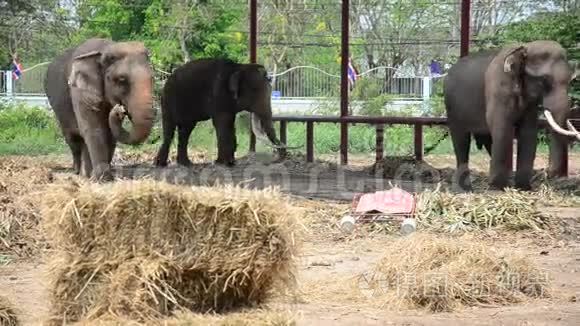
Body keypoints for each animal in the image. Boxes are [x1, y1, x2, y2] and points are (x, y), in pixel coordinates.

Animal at [154, 57, 292, 167]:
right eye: (255, 91)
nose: (273, 160)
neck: (239, 67)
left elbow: (230, 124)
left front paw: (230, 162)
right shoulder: (219, 94)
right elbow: (222, 123)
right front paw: (223, 163)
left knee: (186, 130)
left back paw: (186, 164)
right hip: (168, 99)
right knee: (170, 129)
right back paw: (161, 164)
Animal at [444, 39, 576, 191]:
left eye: (570, 81)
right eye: (543, 80)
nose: (549, 173)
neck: (526, 47)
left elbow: (528, 132)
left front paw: (523, 188)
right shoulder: (498, 88)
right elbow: (503, 128)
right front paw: (497, 188)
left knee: (489, 140)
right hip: (452, 108)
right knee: (461, 141)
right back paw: (465, 189)